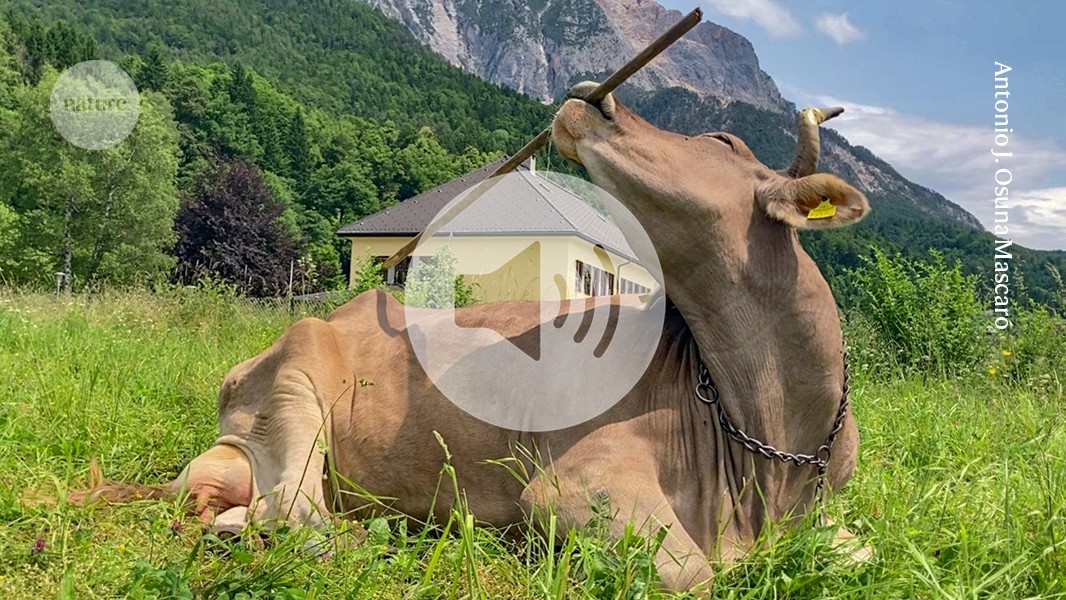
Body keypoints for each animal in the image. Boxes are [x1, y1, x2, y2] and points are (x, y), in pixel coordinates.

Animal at [74, 83, 870, 594]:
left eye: (720, 139)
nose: (594, 93)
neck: (771, 439)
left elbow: (858, 554)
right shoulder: (572, 485)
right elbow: (694, 575)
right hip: (295, 381)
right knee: (296, 518)